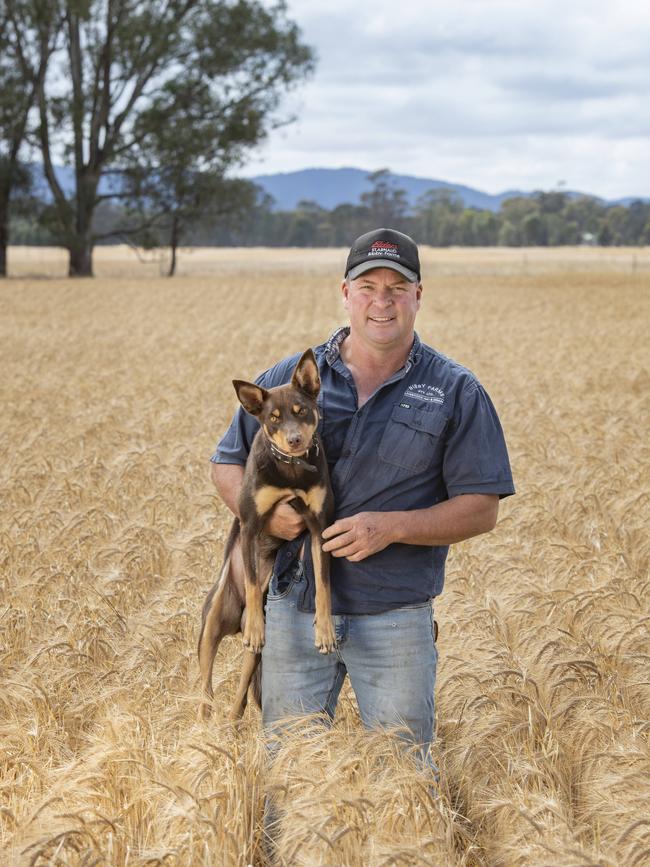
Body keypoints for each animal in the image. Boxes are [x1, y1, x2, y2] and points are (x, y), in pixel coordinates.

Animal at [197, 350, 334, 724]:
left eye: (301, 411)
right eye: (273, 418)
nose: (295, 440)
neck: (291, 469)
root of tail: (235, 618)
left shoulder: (319, 528)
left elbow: (324, 586)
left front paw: (325, 630)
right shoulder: (251, 525)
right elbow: (253, 580)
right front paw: (258, 626)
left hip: (254, 658)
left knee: (241, 695)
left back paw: (230, 724)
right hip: (211, 621)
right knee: (204, 684)